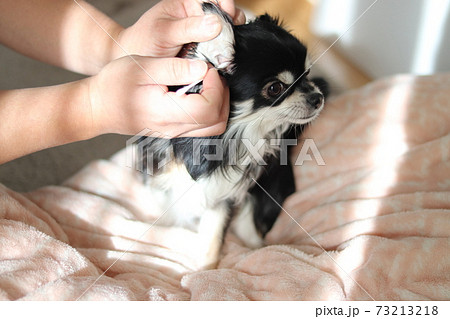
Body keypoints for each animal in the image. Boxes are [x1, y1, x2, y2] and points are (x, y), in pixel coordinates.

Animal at [135, 1, 328, 270]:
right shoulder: (161, 171)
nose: (318, 98)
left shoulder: (222, 194)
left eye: (307, 73)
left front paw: (204, 270)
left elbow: (213, 235)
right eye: (275, 88)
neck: (234, 133)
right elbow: (161, 201)